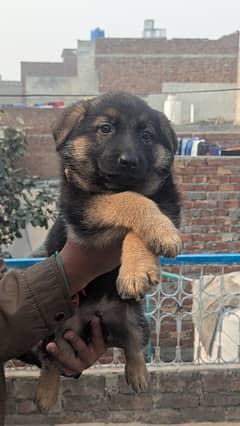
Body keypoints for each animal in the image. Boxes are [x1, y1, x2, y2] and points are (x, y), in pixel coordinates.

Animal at [34, 91, 180, 412]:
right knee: (50, 359)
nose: (129, 161)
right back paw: (46, 394)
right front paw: (156, 236)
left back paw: (138, 374)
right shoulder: (83, 209)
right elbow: (130, 199)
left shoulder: (168, 203)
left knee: (134, 345)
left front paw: (139, 266)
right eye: (105, 129)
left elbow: (141, 204)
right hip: (53, 331)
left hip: (135, 317)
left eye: (147, 136)